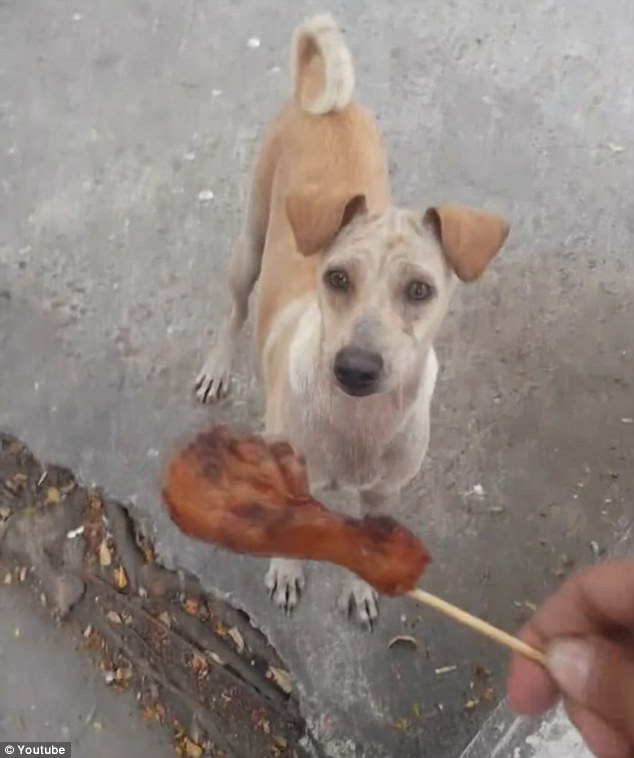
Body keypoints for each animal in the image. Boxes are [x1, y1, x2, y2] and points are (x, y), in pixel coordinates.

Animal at [194, 13, 508, 628]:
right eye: (336, 278)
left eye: (420, 290)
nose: (356, 368)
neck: (357, 424)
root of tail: (325, 105)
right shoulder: (290, 485)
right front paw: (287, 570)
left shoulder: (383, 496)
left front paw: (360, 586)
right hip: (248, 246)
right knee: (234, 310)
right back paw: (217, 366)